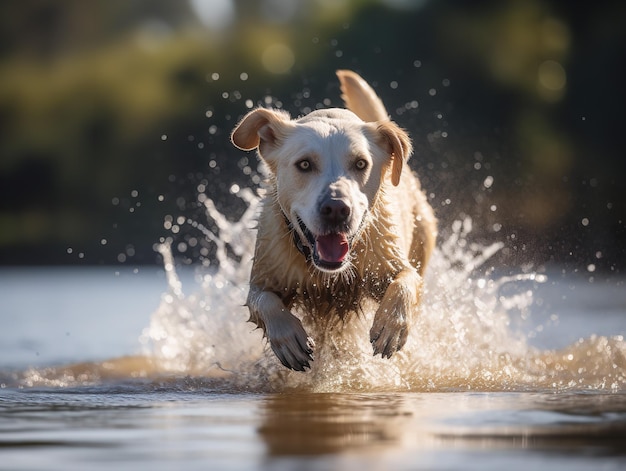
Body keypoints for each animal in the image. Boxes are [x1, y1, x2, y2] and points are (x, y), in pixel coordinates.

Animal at [228, 71, 434, 372]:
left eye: (360, 164)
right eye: (304, 164)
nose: (337, 208)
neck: (327, 276)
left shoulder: (388, 259)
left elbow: (406, 282)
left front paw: (390, 327)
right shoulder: (267, 270)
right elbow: (262, 300)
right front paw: (288, 339)